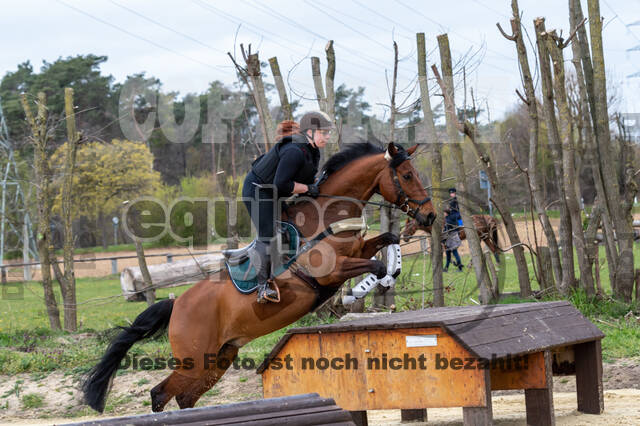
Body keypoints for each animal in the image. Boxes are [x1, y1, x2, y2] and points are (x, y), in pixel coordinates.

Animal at [82, 142, 436, 412]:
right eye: (407, 175)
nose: (430, 215)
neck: (325, 217)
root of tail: (176, 304)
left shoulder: (358, 249)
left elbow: (389, 240)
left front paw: (391, 271)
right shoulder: (333, 271)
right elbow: (375, 268)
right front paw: (358, 293)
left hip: (218, 359)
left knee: (183, 397)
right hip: (195, 359)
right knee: (160, 393)